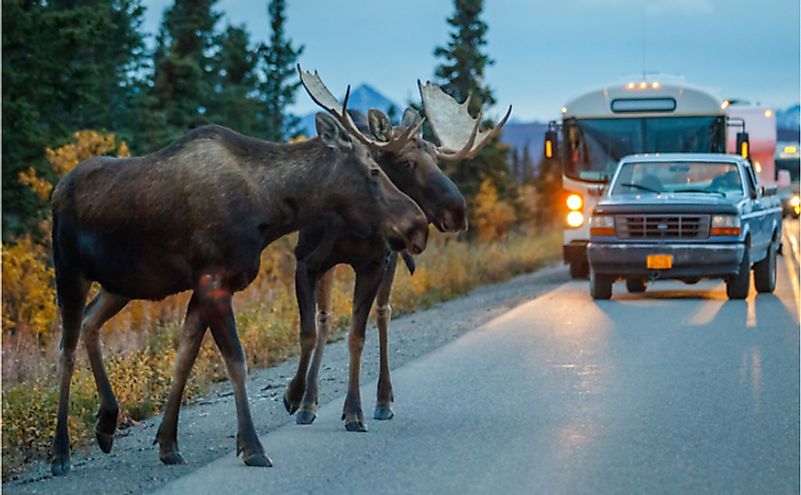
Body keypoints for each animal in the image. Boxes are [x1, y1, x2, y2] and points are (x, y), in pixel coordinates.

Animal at [47, 99, 428, 474]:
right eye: (374, 171)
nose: (418, 225)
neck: (269, 207)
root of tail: (56, 190)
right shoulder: (213, 281)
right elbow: (235, 362)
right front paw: (252, 447)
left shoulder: (205, 286)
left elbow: (184, 358)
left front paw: (168, 444)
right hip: (69, 271)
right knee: (65, 351)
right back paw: (60, 452)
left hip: (121, 284)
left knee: (90, 322)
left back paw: (106, 423)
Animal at [282, 68, 512, 432]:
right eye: (405, 162)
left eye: (437, 160)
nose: (458, 212)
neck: (348, 224)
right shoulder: (308, 261)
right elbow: (314, 326)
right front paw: (298, 398)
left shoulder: (375, 263)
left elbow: (357, 336)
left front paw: (354, 410)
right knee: (329, 319)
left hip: (390, 262)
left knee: (383, 314)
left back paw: (383, 399)